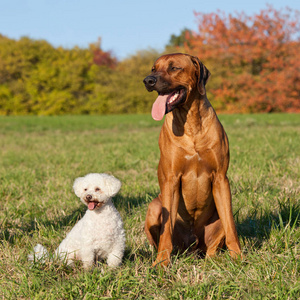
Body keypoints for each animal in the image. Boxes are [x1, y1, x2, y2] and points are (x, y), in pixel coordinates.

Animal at [143, 52, 241, 266]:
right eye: (154, 69)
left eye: (174, 68)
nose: (148, 80)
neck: (191, 124)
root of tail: (192, 245)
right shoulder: (171, 180)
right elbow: (165, 232)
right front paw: (162, 262)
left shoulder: (221, 178)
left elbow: (231, 226)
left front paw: (238, 256)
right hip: (154, 206)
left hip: (217, 216)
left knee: (218, 235)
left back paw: (214, 259)